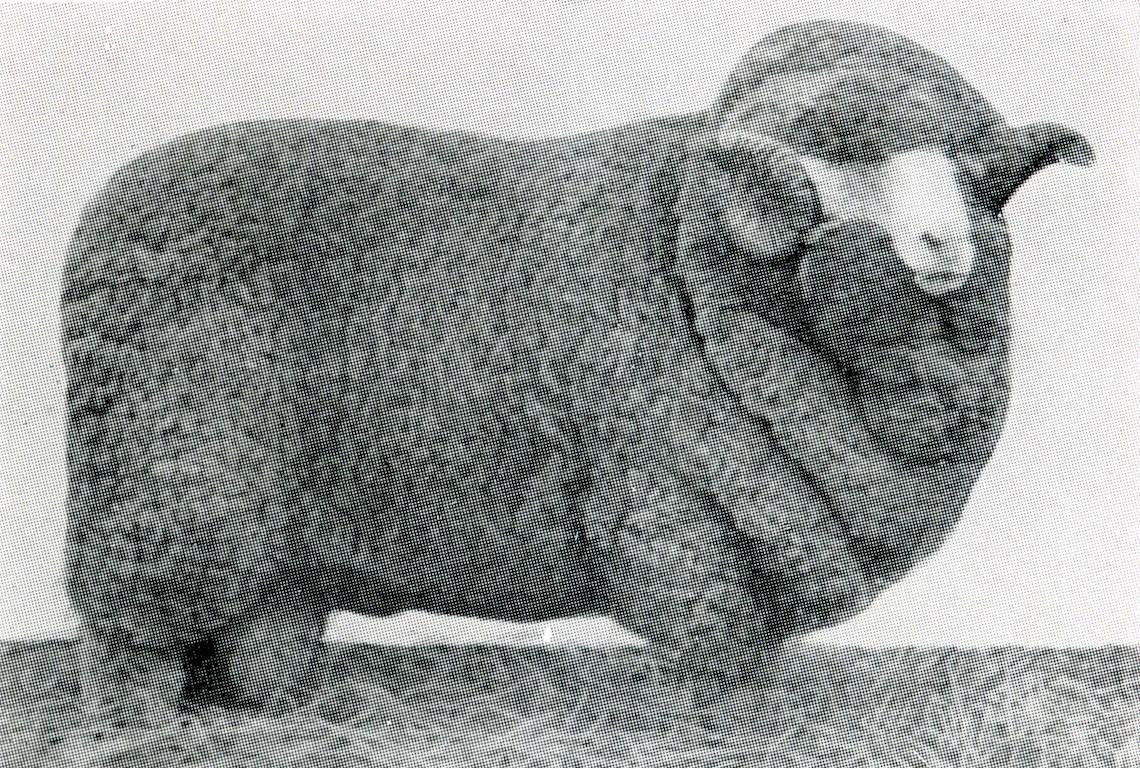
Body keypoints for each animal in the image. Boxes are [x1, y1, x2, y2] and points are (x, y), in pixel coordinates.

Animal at [62, 20, 1094, 720]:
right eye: (849, 176)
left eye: (969, 180)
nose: (943, 244)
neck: (692, 277)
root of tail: (103, 211)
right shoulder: (673, 513)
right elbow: (717, 643)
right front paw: (722, 721)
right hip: (163, 487)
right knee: (124, 630)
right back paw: (137, 723)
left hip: (257, 541)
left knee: (255, 637)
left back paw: (273, 705)